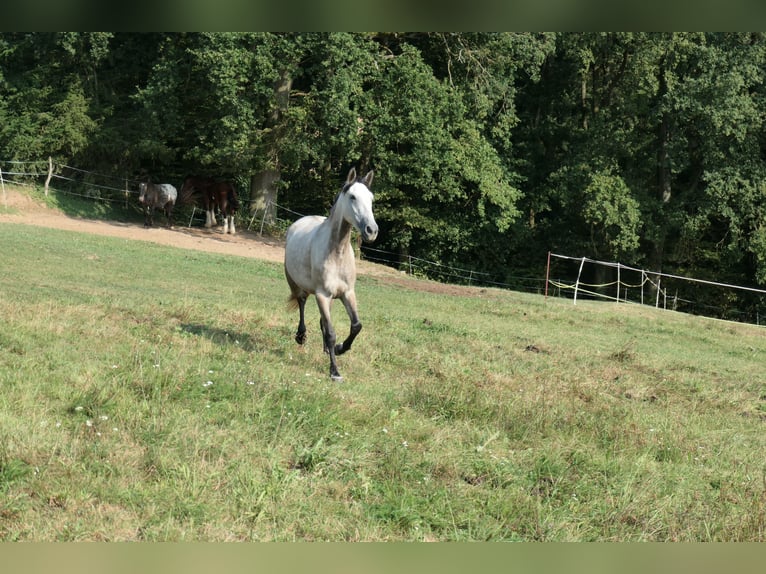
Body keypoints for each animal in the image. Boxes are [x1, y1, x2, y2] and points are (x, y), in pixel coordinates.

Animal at [284, 166, 380, 382]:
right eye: (352, 196)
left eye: (371, 198)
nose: (371, 231)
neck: (337, 253)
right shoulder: (322, 295)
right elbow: (330, 332)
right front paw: (335, 371)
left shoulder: (347, 293)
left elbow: (356, 326)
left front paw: (339, 348)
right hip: (295, 283)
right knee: (302, 302)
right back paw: (301, 336)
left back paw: (327, 350)